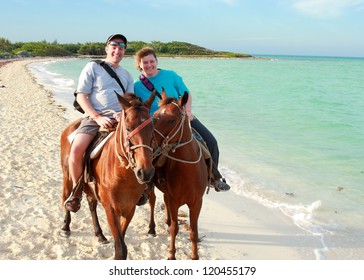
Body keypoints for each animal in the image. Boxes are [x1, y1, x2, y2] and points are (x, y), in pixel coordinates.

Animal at [59, 93, 155, 260]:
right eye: (128, 128)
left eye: (152, 129)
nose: (145, 172)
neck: (124, 176)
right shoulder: (111, 209)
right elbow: (121, 249)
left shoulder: (130, 208)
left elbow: (121, 242)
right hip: (67, 176)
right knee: (66, 196)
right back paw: (66, 226)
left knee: (91, 204)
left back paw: (100, 234)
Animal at [148, 90, 208, 260]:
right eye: (154, 116)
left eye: (172, 120)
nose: (150, 144)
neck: (188, 171)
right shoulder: (175, 201)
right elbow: (175, 229)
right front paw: (171, 255)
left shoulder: (197, 203)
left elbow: (193, 232)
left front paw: (195, 256)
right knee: (152, 201)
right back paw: (152, 228)